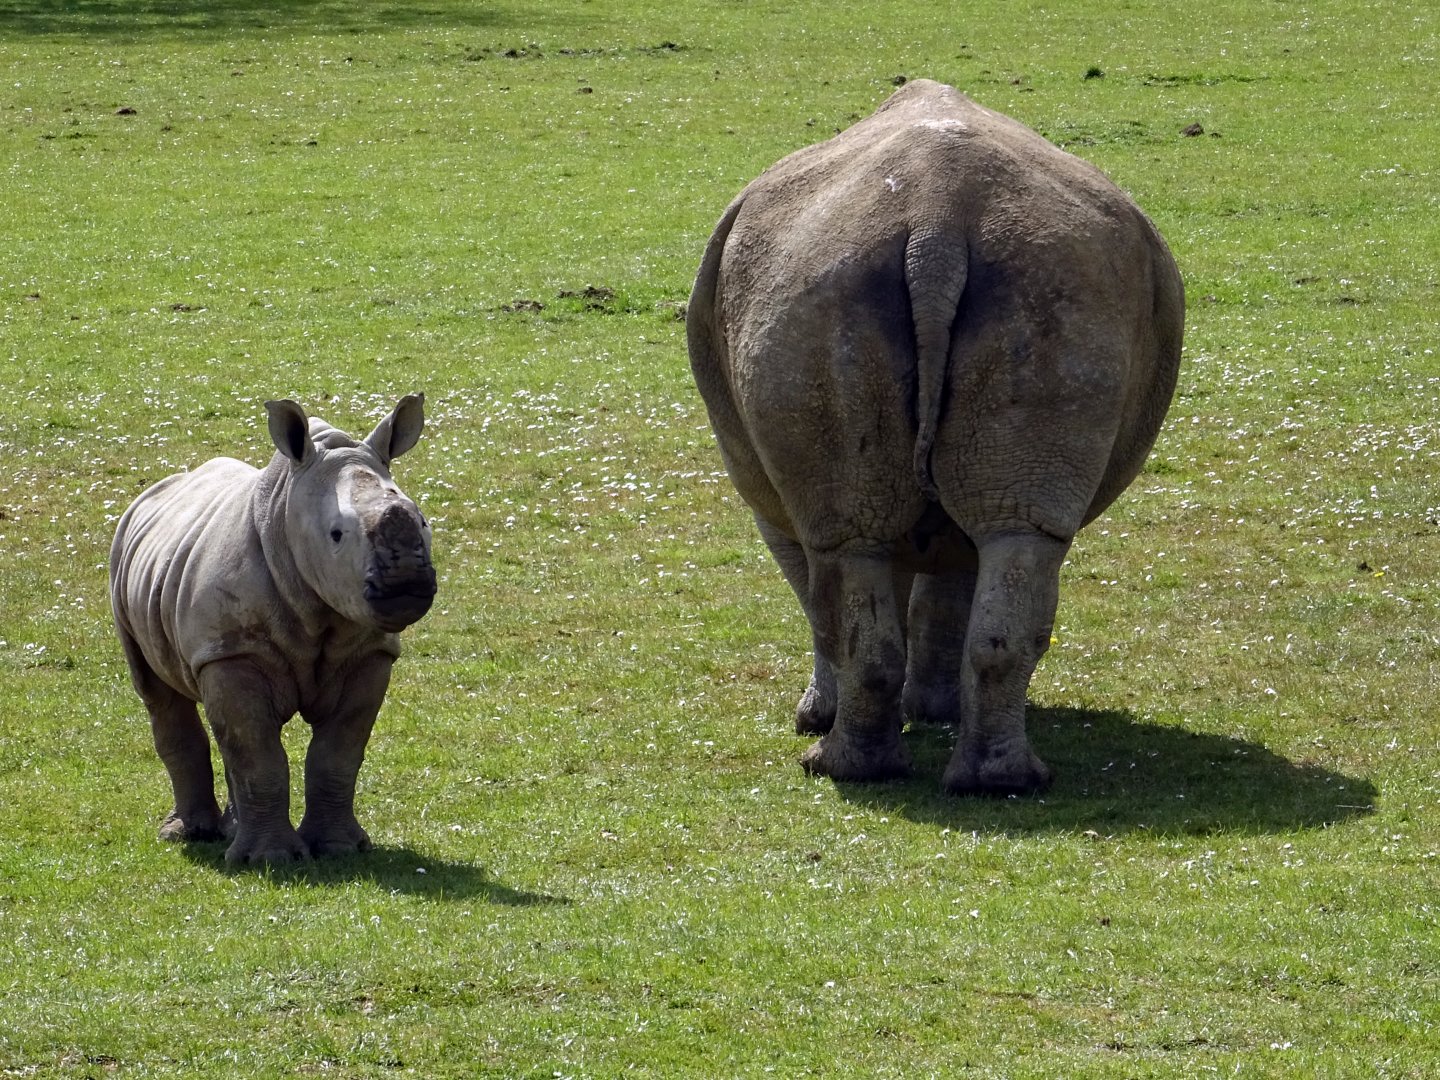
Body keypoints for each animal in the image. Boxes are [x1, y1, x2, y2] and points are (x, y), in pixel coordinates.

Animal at [109, 395, 436, 864]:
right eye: (336, 535)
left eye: (424, 522)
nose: (406, 581)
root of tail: (154, 493)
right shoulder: (232, 651)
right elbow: (257, 754)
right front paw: (271, 860)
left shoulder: (370, 654)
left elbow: (337, 754)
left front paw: (339, 849)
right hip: (123, 562)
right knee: (159, 693)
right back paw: (188, 834)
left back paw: (229, 833)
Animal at [687, 80, 1184, 794]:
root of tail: (936, 224)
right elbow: (943, 591)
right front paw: (931, 711)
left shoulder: (773, 504)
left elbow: (821, 596)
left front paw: (823, 716)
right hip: (1046, 284)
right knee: (1016, 539)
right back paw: (999, 782)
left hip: (821, 288)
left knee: (846, 562)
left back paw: (836, 767)